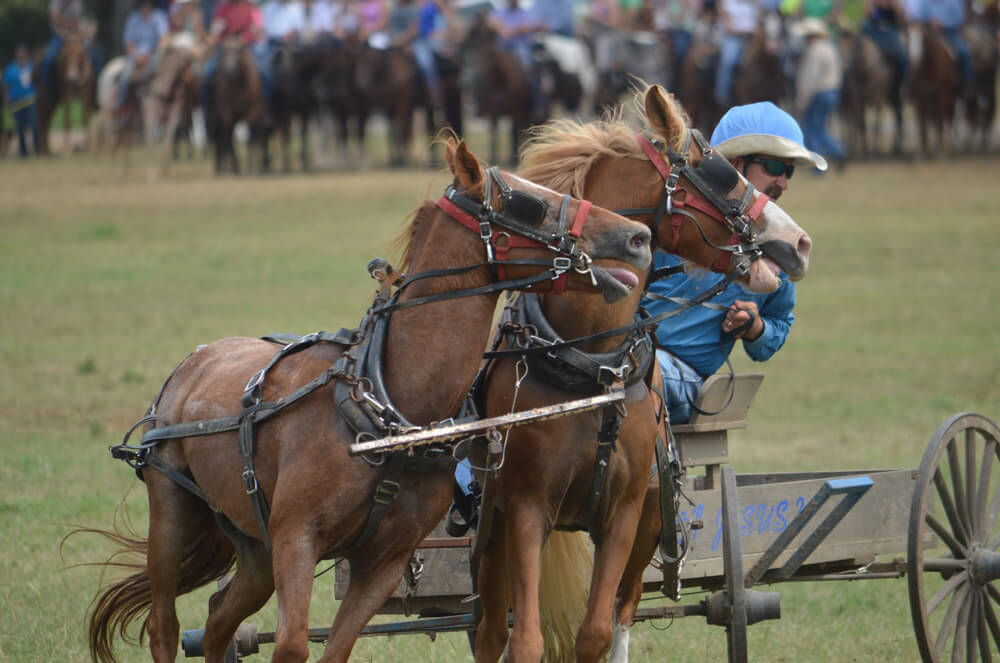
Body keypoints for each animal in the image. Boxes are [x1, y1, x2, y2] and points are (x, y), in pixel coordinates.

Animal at [86, 136, 656, 663]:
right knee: (164, 626)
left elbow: (335, 650)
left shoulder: (382, 563)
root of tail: (196, 360)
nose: (639, 236)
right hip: (173, 512)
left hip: (252, 546)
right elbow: (291, 646)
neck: (387, 408)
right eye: (526, 202)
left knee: (219, 618)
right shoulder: (296, 540)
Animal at [470, 84, 812, 663]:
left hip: (653, 523)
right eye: (718, 171)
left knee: (624, 610)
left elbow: (595, 633)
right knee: (492, 630)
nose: (801, 242)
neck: (593, 369)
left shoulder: (624, 515)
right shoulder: (525, 509)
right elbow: (526, 640)